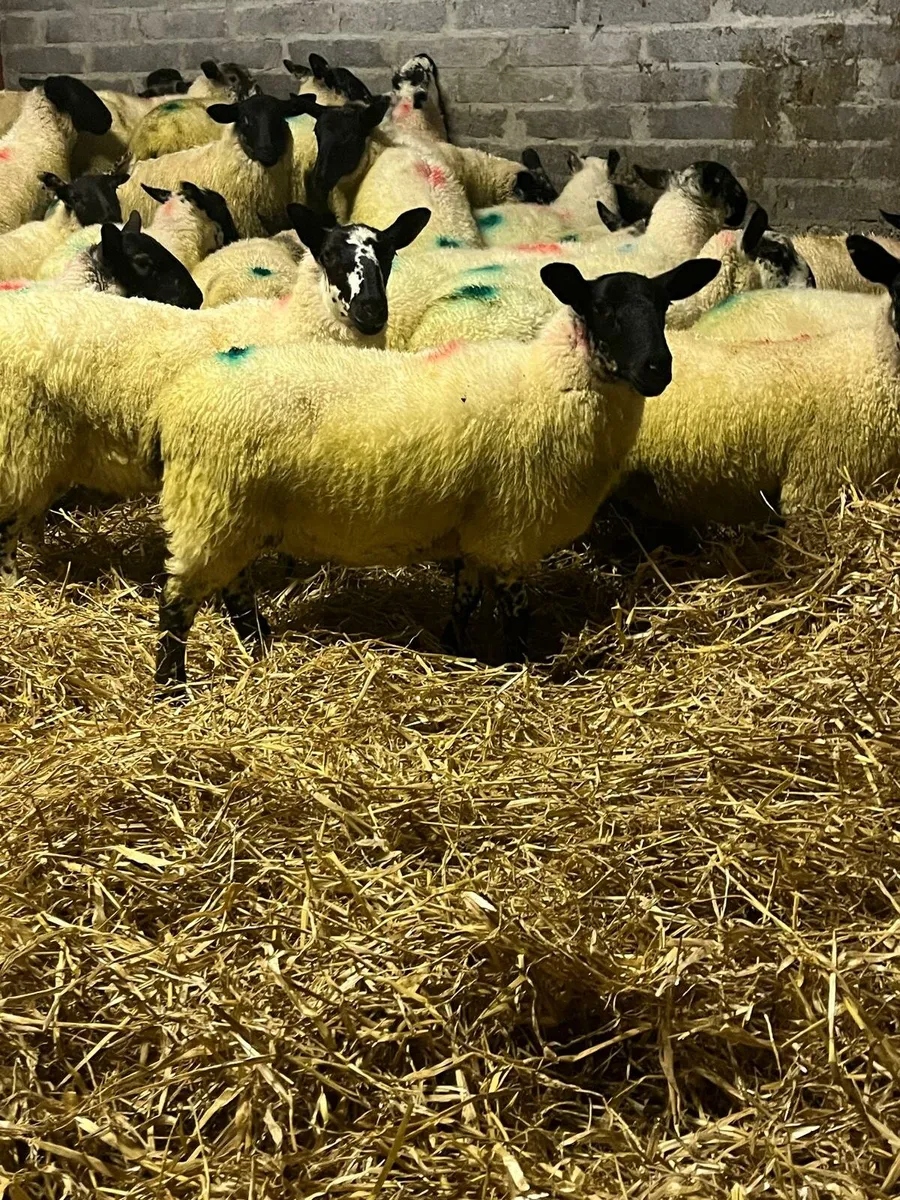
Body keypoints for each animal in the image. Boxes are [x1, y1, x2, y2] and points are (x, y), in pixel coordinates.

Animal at [0, 205, 429, 581]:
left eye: (388, 255)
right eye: (328, 255)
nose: (372, 312)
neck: (294, 327)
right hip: (21, 441)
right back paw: (16, 581)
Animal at [147, 254, 719, 693]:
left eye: (662, 307)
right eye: (602, 310)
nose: (657, 369)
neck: (545, 384)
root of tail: (181, 398)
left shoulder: (478, 530)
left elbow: (466, 599)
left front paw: (456, 649)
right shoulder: (509, 530)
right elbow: (516, 612)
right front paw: (524, 666)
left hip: (231, 514)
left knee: (234, 589)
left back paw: (259, 645)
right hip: (210, 507)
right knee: (177, 602)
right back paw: (171, 686)